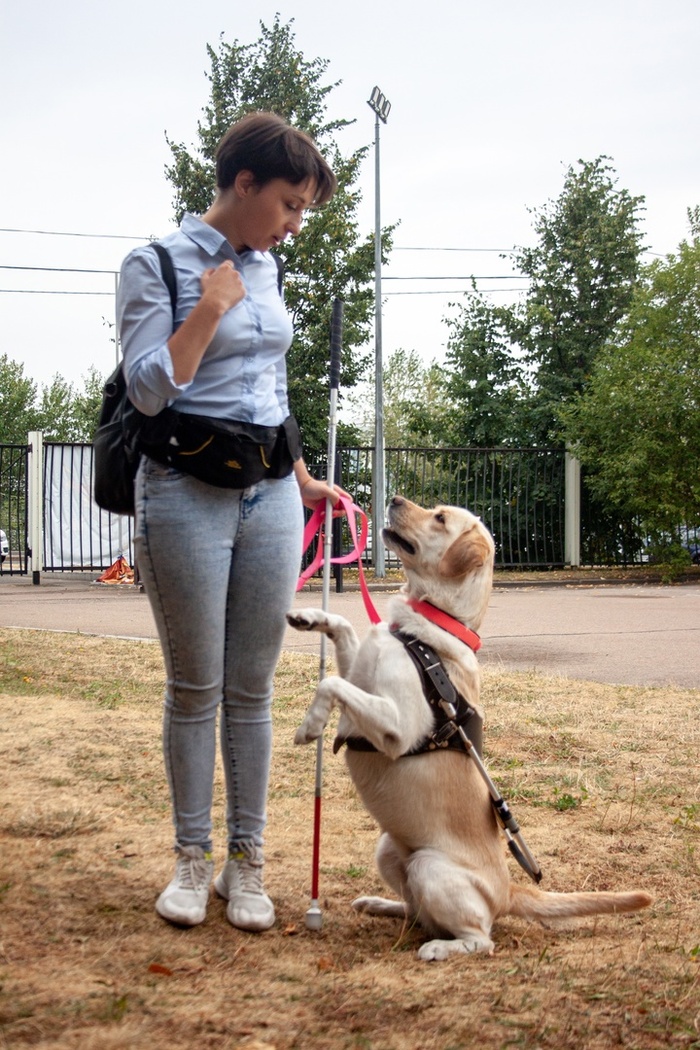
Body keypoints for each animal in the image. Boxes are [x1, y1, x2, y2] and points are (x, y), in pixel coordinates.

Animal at [287, 495, 652, 961]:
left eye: (440, 518)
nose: (394, 499)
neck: (426, 631)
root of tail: (509, 891)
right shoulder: (361, 673)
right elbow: (346, 631)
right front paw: (309, 616)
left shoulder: (397, 728)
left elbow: (330, 684)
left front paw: (310, 725)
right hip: (388, 850)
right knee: (416, 912)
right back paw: (381, 905)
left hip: (428, 866)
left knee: (480, 937)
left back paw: (440, 948)